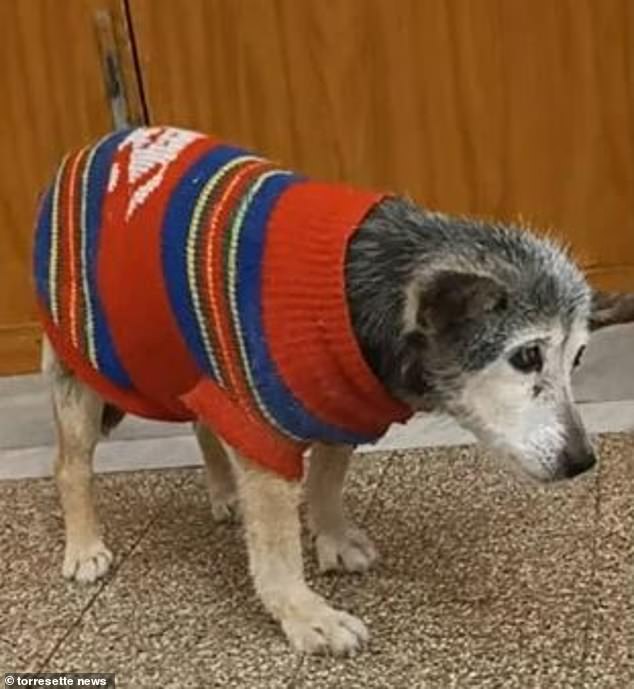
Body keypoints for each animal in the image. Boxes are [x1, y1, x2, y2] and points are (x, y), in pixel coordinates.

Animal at [35, 126, 632, 652]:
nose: (582, 461)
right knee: (71, 467)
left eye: (578, 358)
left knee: (204, 424)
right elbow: (277, 549)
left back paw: (224, 493)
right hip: (81, 369)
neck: (365, 288)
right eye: (526, 356)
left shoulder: (339, 409)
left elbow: (324, 483)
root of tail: (90, 150)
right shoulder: (263, 432)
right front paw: (305, 614)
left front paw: (333, 539)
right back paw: (84, 546)